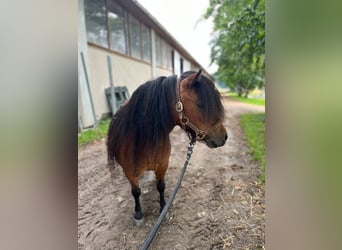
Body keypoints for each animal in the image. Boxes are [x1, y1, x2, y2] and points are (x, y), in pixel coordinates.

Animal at [107, 69, 227, 224]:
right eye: (200, 104)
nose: (224, 137)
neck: (142, 139)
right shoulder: (130, 172)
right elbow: (136, 192)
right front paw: (138, 214)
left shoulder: (163, 165)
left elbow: (161, 186)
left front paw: (163, 208)